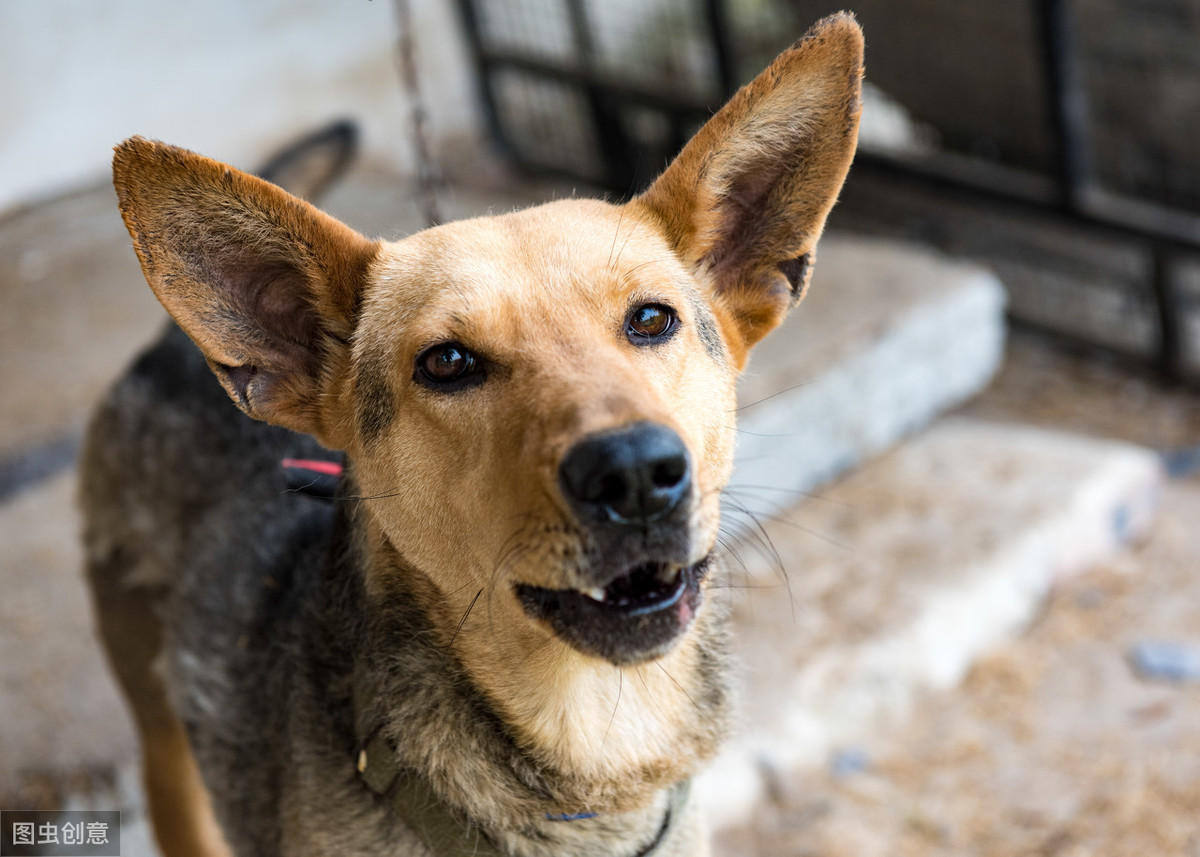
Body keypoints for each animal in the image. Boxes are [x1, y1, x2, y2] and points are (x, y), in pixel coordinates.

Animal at [77, 15, 864, 854]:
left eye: (652, 319)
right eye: (448, 363)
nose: (635, 474)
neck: (595, 748)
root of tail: (169, 348)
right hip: (161, 736)